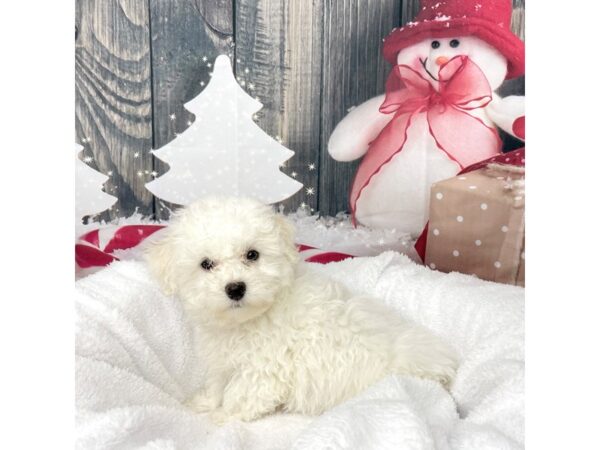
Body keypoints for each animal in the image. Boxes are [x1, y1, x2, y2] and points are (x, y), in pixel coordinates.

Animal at [145, 196, 454, 422]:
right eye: (206, 264)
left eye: (252, 255)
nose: (235, 288)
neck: (250, 318)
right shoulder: (224, 362)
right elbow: (217, 386)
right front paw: (203, 403)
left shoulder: (263, 369)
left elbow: (240, 397)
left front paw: (219, 417)